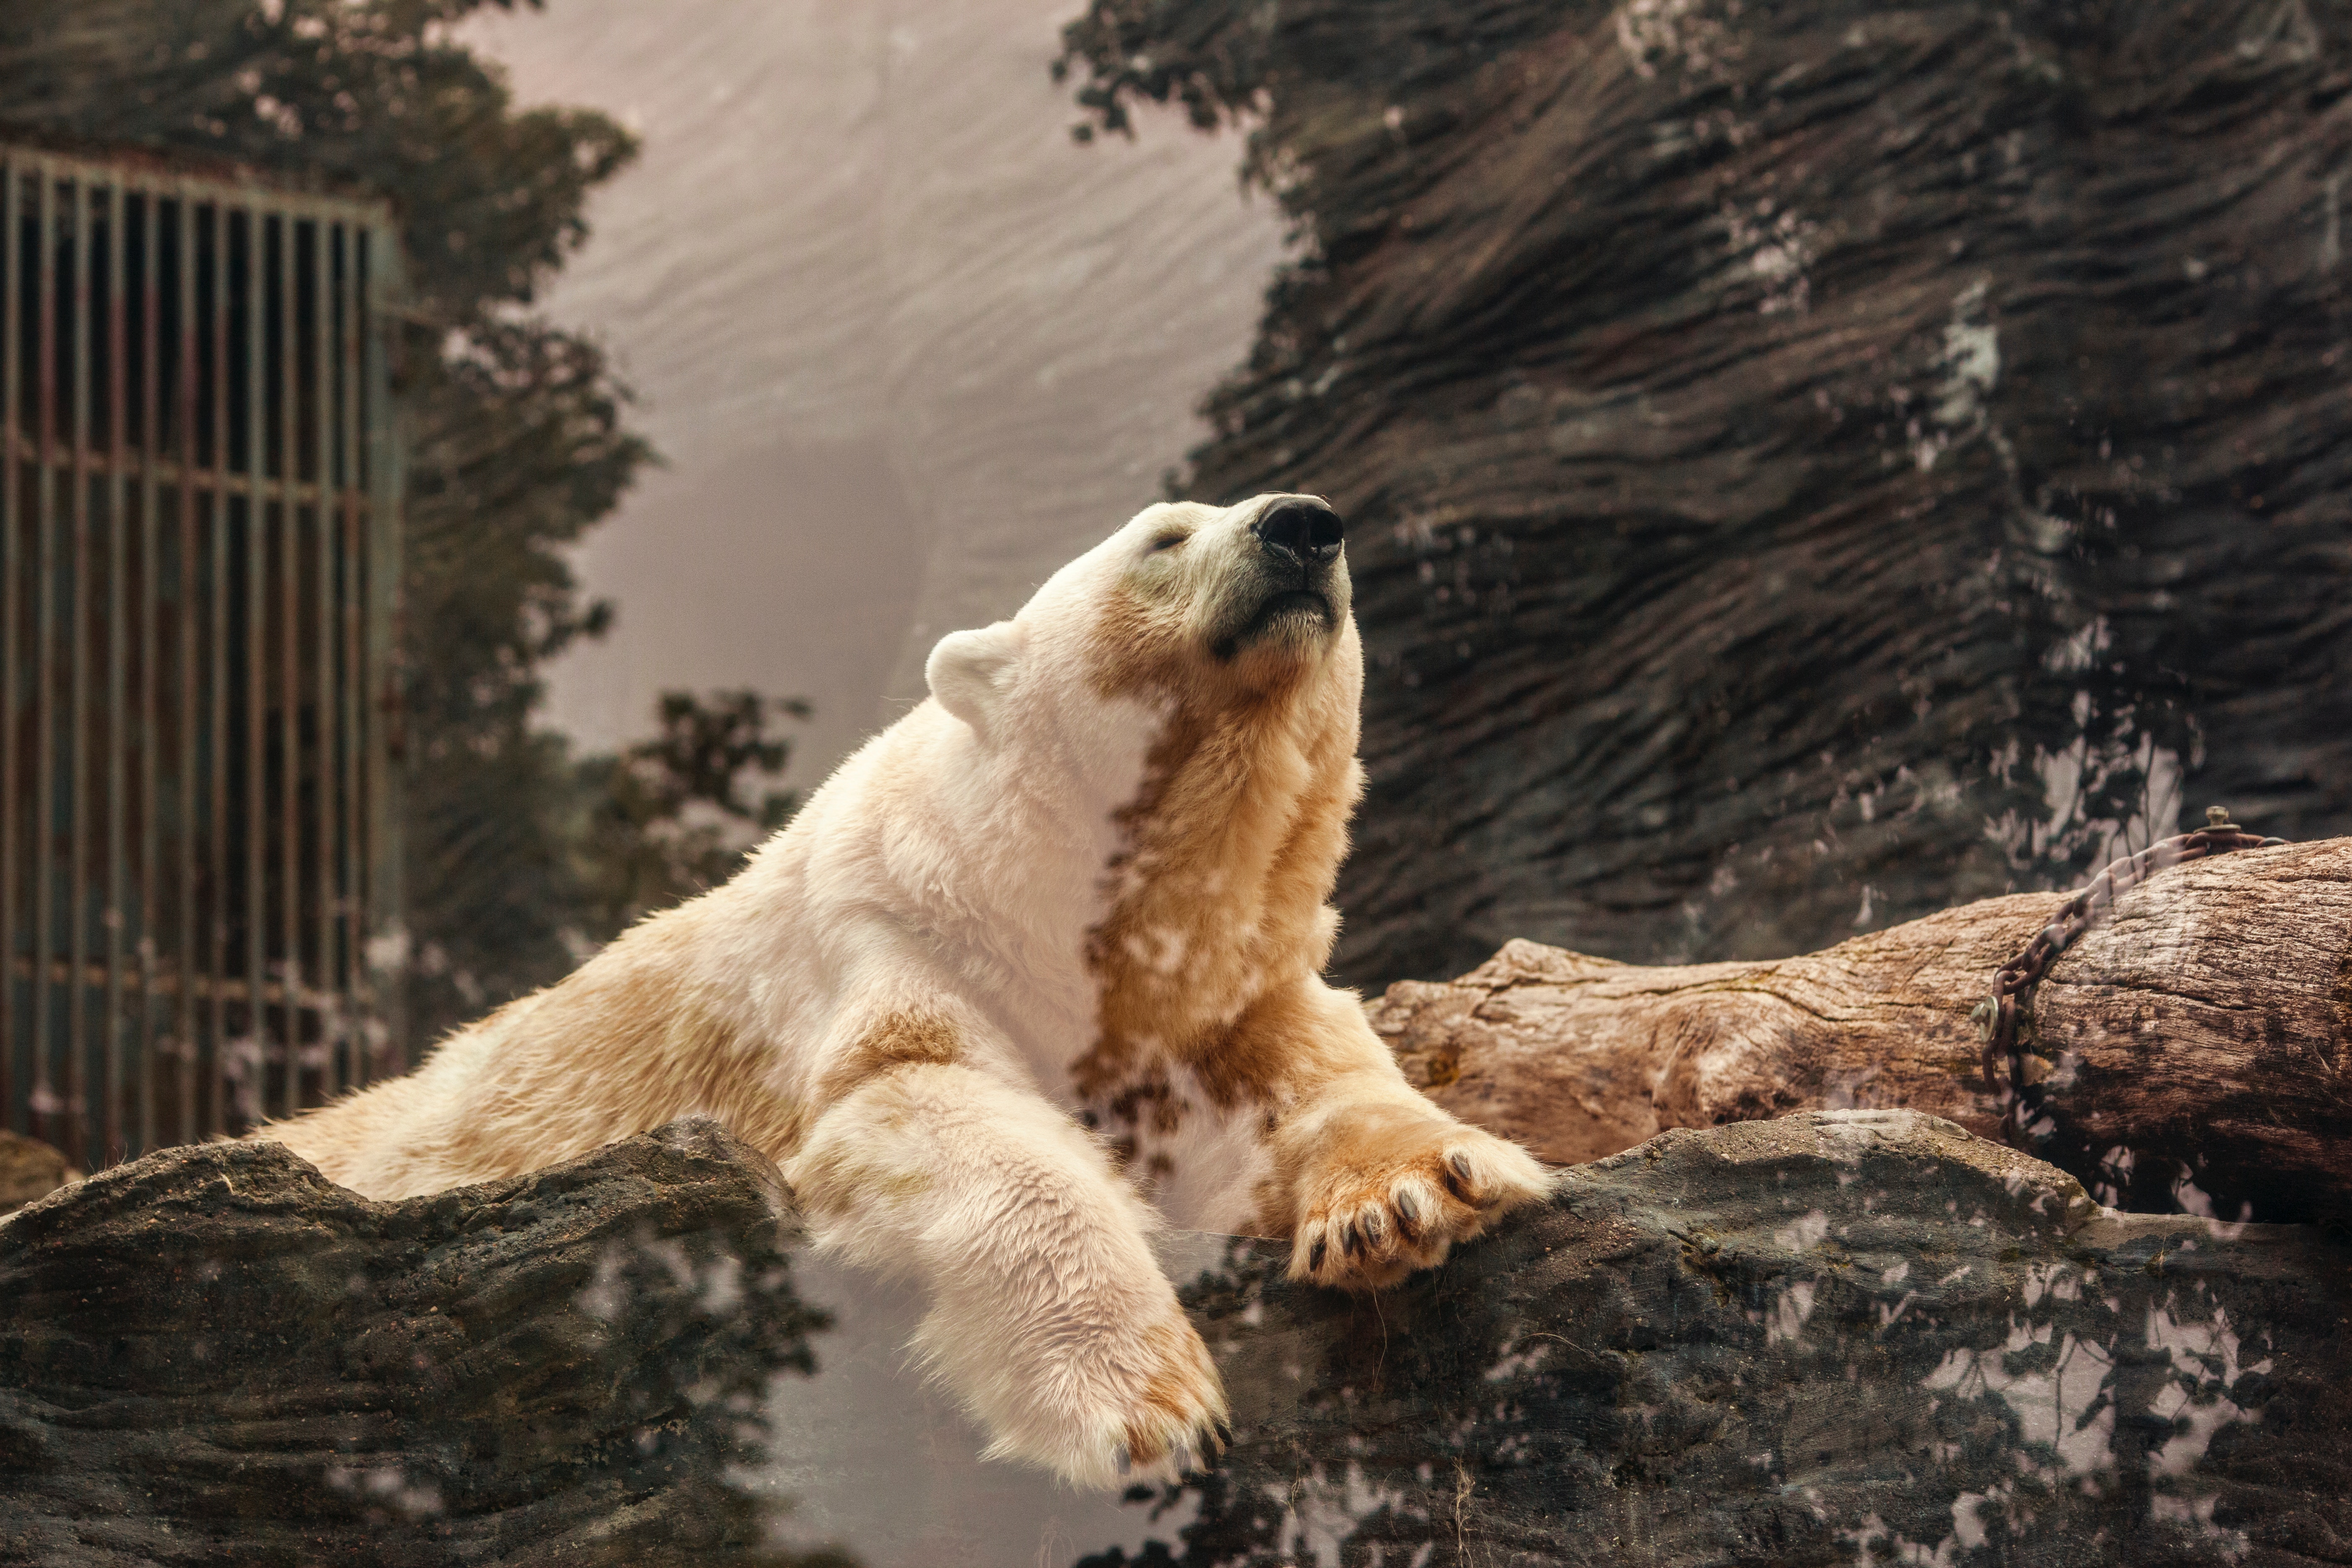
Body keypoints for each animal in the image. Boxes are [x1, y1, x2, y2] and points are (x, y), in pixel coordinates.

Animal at [259, 492, 1552, 1488]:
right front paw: (1147, 1408)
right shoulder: (888, 940)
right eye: (1165, 535)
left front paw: (1413, 1197)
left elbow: (1319, 1078)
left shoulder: (1225, 997)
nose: (1302, 526)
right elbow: (923, 1100)